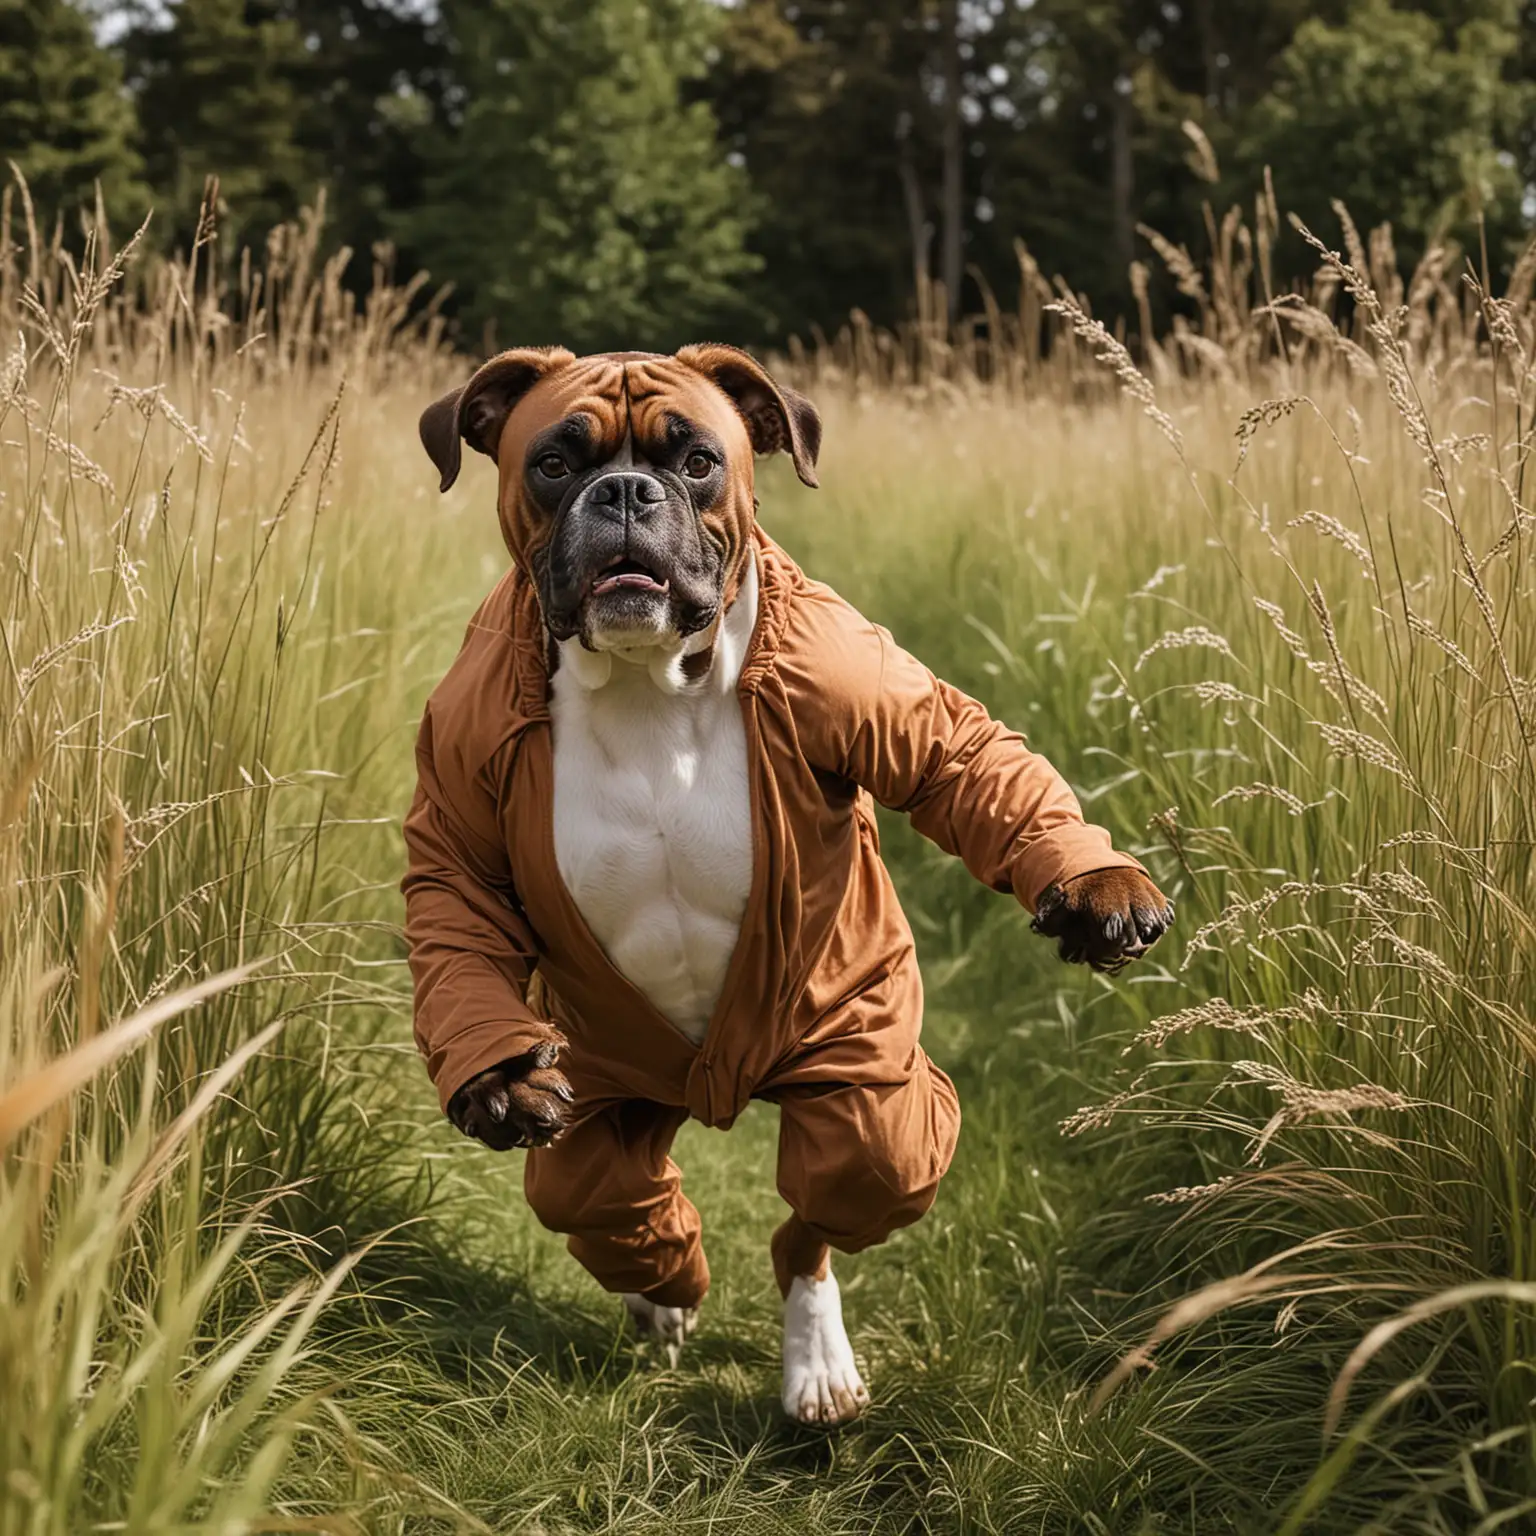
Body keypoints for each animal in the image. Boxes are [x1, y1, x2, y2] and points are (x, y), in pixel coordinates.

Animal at [402, 342, 1167, 1419]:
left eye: (696, 462)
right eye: (553, 464)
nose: (625, 491)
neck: (645, 680)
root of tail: (716, 1087)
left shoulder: (852, 689)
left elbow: (972, 763)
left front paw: (1095, 880)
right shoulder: (465, 771)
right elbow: (457, 912)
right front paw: (500, 1084)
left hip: (859, 1087)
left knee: (828, 1206)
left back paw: (816, 1364)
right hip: (609, 1100)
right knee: (606, 1195)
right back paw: (666, 1288)